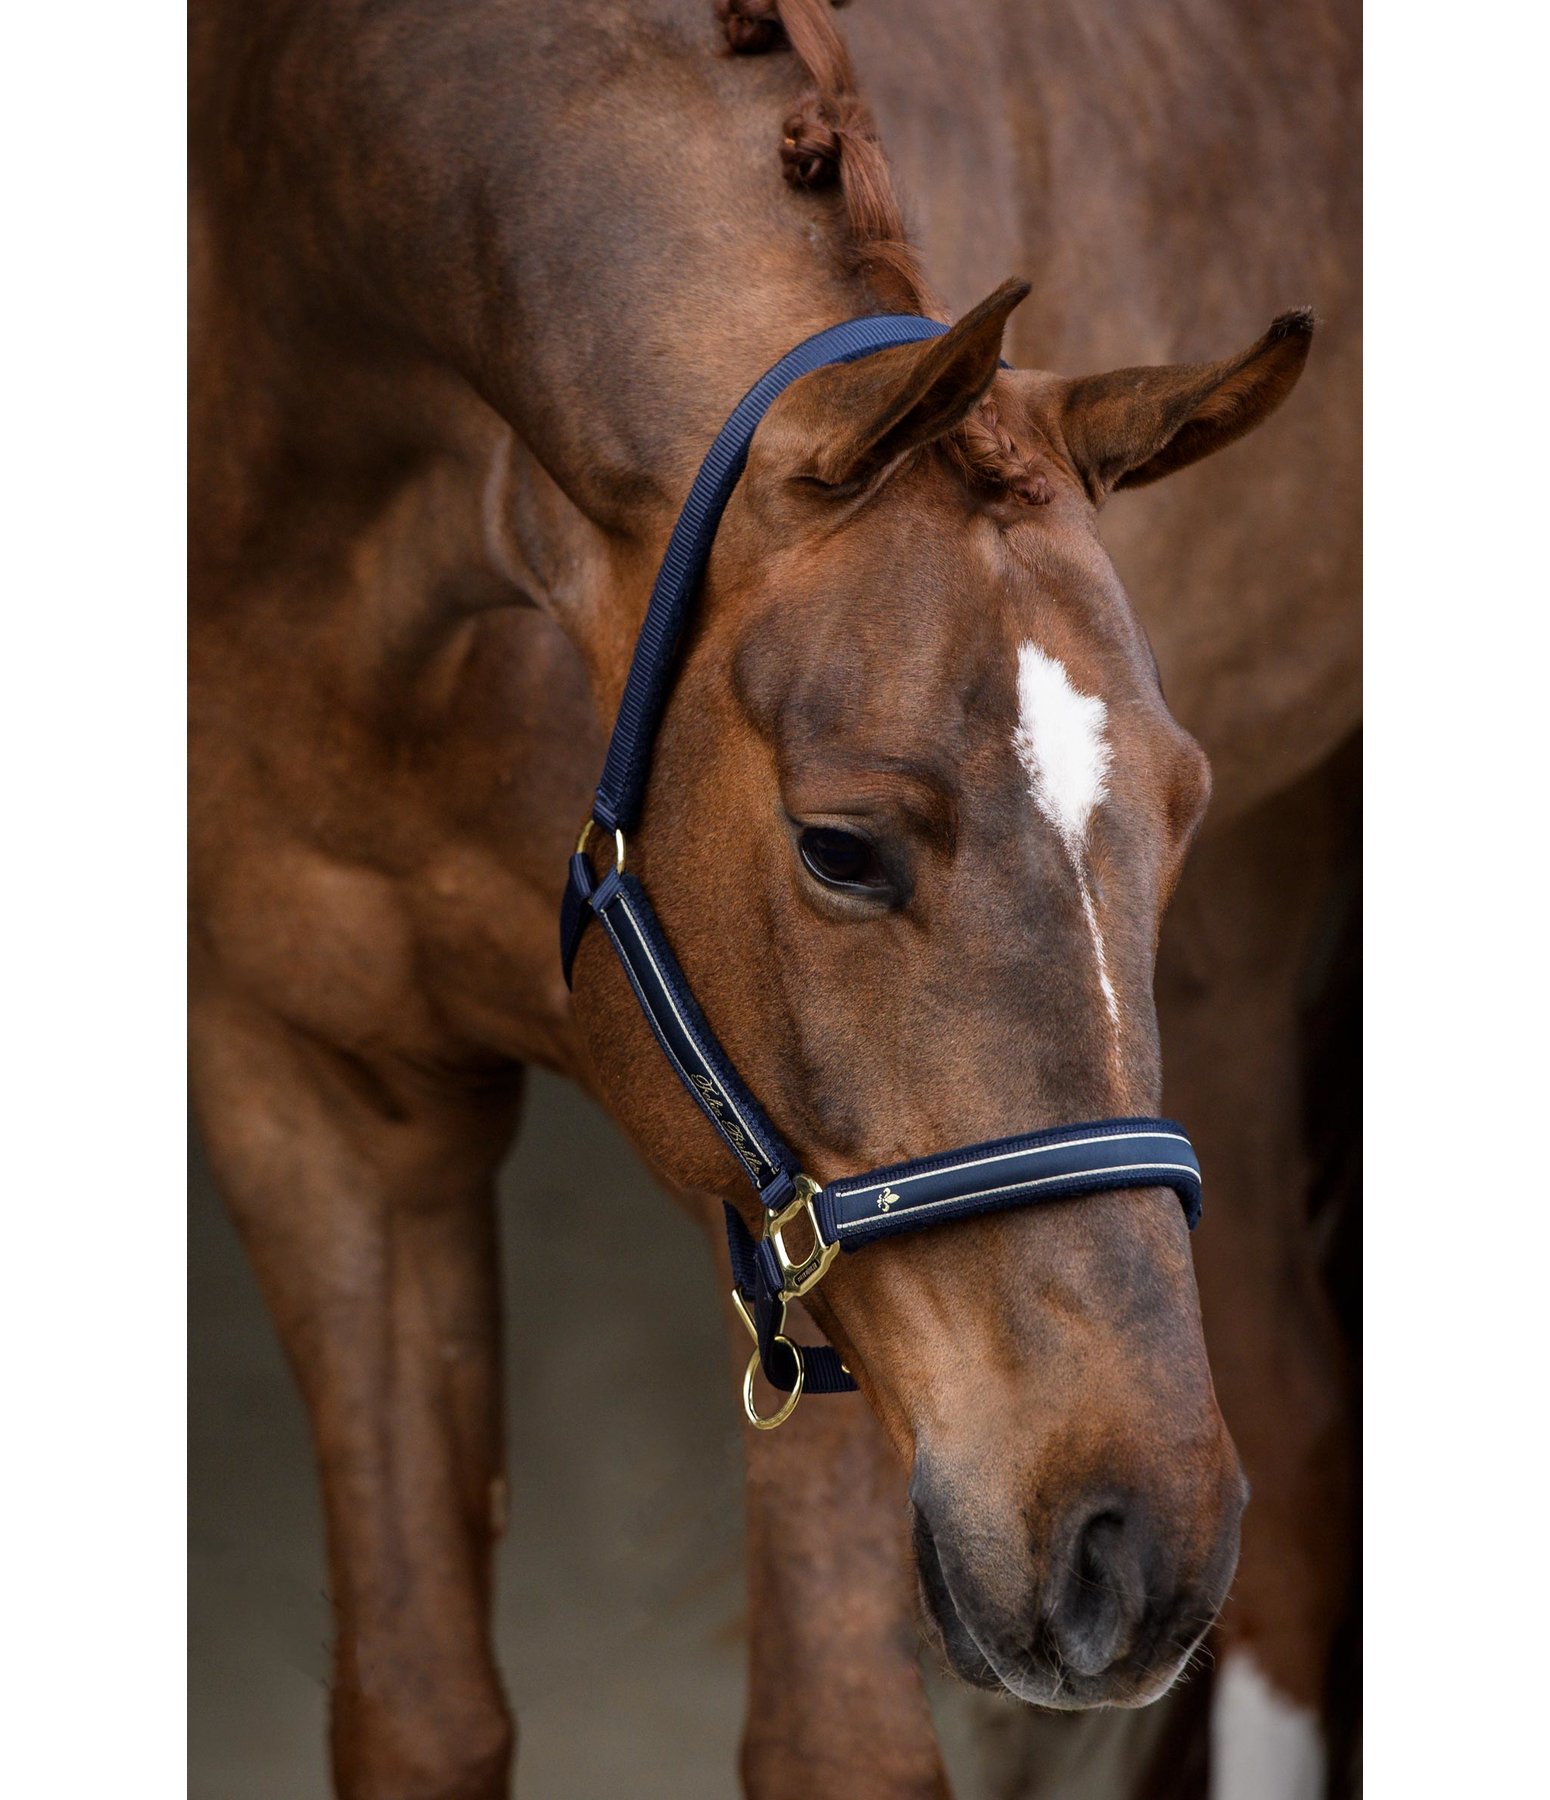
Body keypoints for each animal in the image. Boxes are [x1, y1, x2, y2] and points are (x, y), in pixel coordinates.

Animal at [190, 3, 1353, 1800]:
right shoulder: (316, 1094)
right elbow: (417, 1713)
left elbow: (834, 1740)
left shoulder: (797, 1268)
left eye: (1179, 812)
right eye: (841, 846)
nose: (1128, 1547)